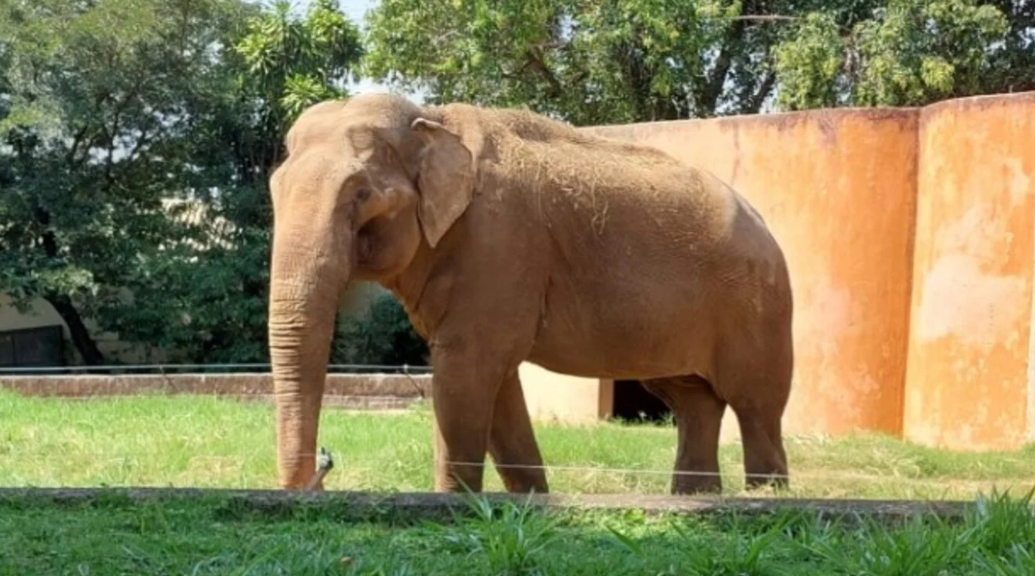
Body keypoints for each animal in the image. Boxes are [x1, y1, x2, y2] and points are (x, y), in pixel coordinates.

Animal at [267, 92, 794, 495]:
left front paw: (454, 503)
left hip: (759, 307)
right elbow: (495, 384)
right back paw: (695, 498)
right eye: (275, 189)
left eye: (361, 197)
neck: (433, 119)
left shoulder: (500, 243)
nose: (321, 474)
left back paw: (765, 498)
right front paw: (532, 500)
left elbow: (466, 371)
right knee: (692, 401)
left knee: (755, 407)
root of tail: (764, 225)